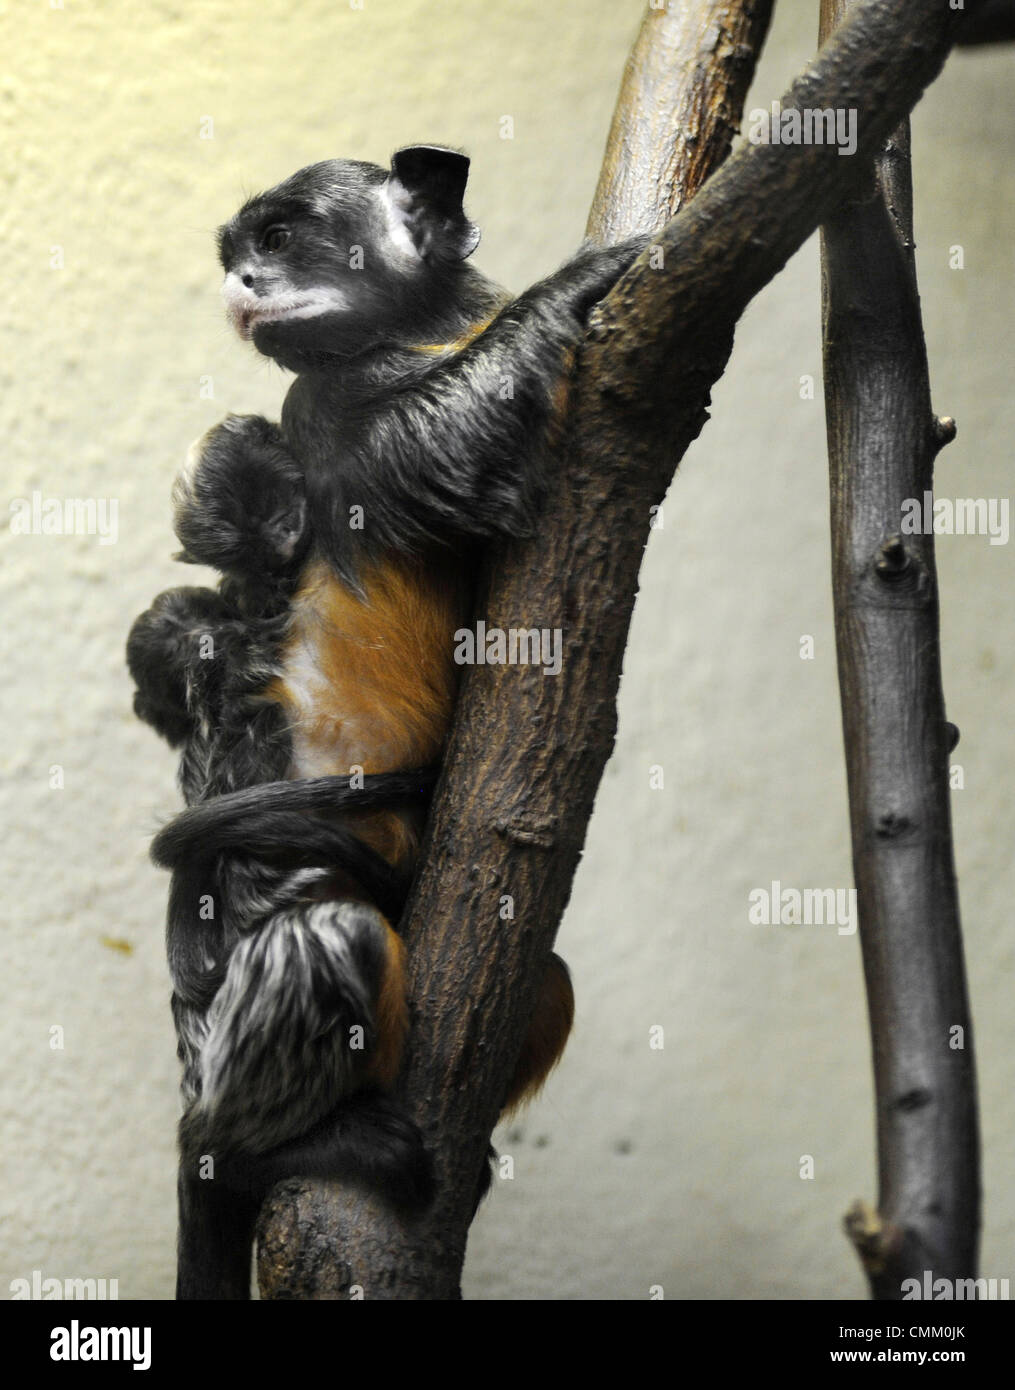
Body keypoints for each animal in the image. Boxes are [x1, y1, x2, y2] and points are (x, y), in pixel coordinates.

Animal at [126, 146, 645, 1295]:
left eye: (276, 241)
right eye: (239, 254)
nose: (243, 284)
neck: (418, 337)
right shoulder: (320, 412)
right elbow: (435, 449)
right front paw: (570, 291)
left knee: (543, 980)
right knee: (327, 934)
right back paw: (249, 1150)